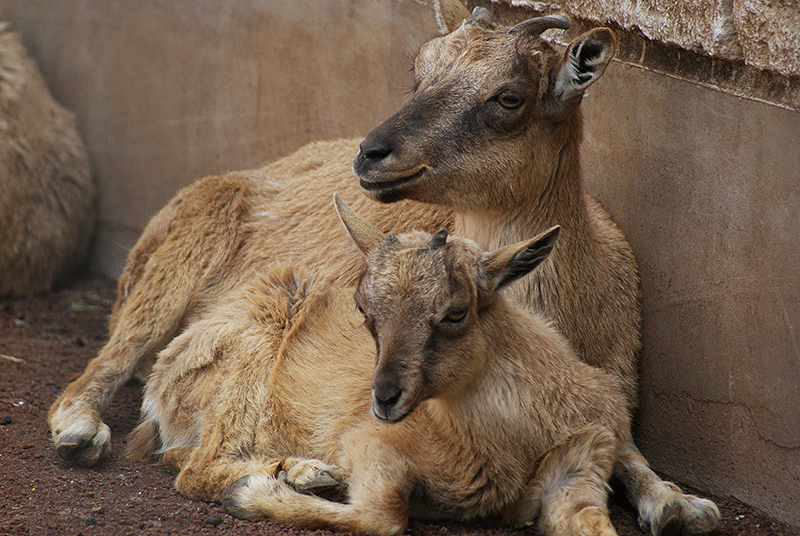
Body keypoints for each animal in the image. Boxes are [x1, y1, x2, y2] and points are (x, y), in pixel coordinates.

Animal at [125, 194, 628, 536]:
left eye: (456, 311)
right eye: (364, 309)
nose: (384, 398)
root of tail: (158, 392)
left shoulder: (582, 463)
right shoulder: (370, 442)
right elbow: (383, 516)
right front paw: (252, 493)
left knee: (180, 457)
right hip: (247, 360)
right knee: (195, 469)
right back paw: (303, 473)